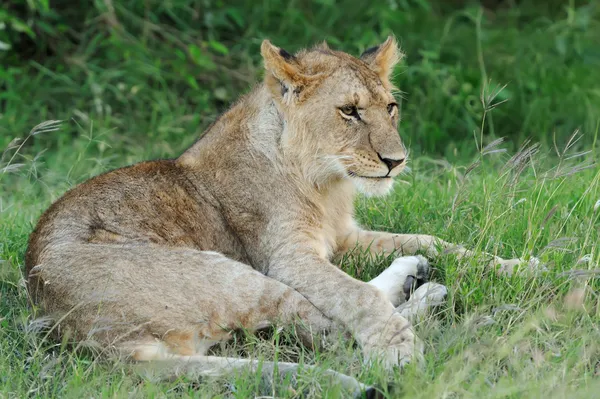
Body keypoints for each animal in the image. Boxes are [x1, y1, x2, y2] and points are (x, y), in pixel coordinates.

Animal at [25, 37, 528, 396]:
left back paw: (420, 276)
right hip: (230, 274)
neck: (326, 183)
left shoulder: (344, 237)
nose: (396, 162)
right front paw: (398, 353)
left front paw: (521, 267)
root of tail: (106, 346)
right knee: (329, 335)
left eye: (390, 107)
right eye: (349, 111)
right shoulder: (288, 256)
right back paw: (433, 304)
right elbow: (355, 298)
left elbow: (432, 239)